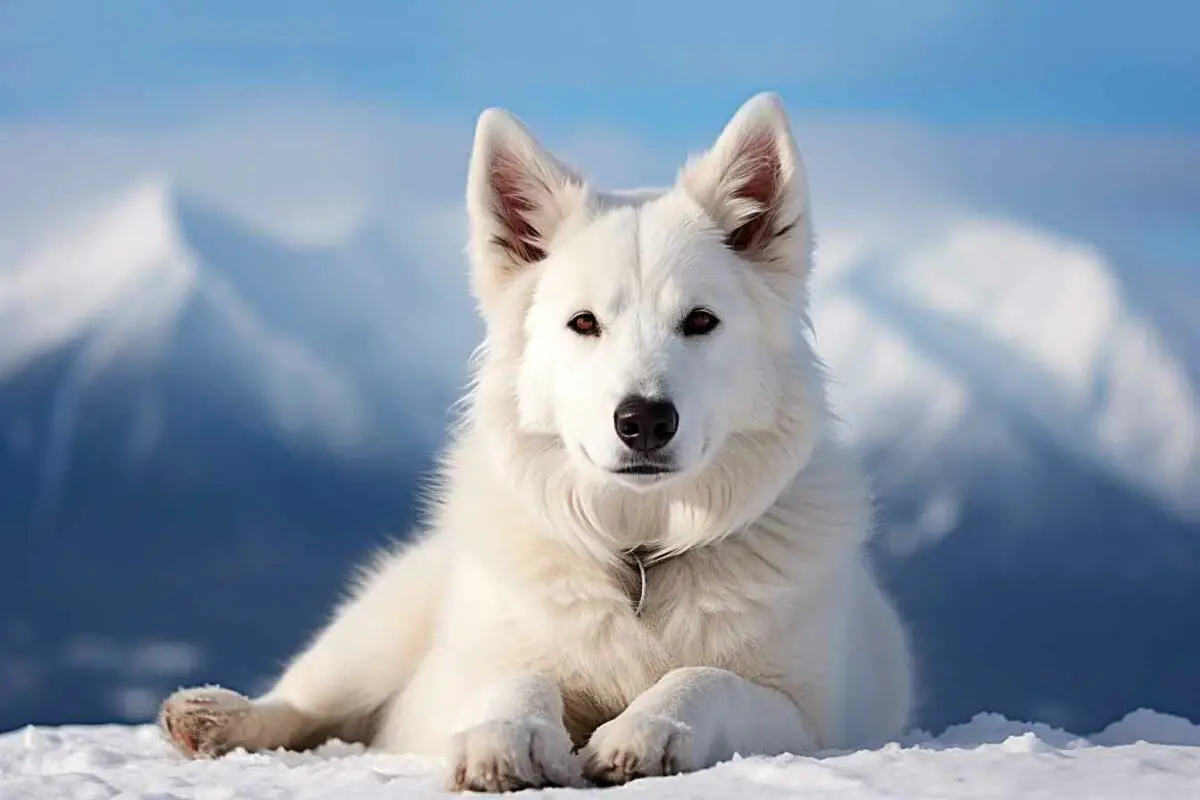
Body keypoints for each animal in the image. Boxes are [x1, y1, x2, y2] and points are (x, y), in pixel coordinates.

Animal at [157, 90, 907, 791]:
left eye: (700, 321)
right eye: (584, 323)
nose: (644, 420)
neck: (637, 554)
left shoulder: (810, 715)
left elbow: (707, 678)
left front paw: (648, 728)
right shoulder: (447, 690)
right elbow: (515, 679)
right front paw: (507, 736)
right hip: (382, 623)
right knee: (304, 700)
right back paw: (216, 716)